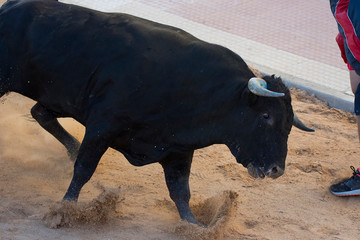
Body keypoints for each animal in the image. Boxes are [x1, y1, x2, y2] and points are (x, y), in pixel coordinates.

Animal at [0, 0, 312, 225]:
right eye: (266, 117)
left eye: (289, 125)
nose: (276, 169)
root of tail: (10, 7)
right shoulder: (103, 126)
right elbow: (84, 170)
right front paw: (65, 208)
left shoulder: (178, 149)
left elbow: (181, 192)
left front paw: (194, 226)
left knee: (40, 112)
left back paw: (71, 147)